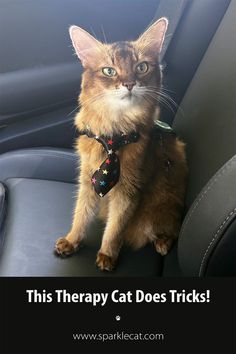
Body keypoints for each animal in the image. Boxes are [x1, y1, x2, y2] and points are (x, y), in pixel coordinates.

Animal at [54, 17, 187, 272]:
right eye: (109, 70)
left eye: (142, 67)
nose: (129, 83)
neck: (114, 135)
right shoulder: (88, 179)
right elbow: (81, 213)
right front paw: (72, 240)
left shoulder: (128, 190)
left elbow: (115, 228)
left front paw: (107, 254)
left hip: (163, 204)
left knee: (171, 228)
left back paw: (163, 243)